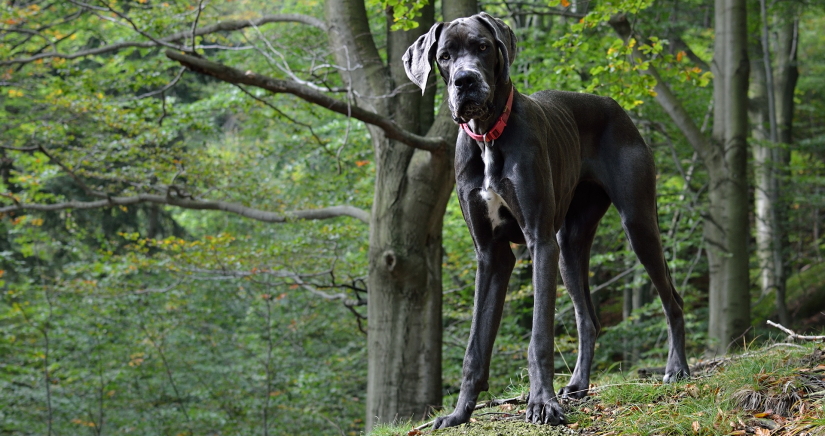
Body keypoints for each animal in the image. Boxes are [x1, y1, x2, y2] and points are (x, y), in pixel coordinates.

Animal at [402, 12, 692, 430]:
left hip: (637, 224)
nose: (465, 81)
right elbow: (475, 346)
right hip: (569, 247)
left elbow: (539, 336)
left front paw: (541, 403)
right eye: (444, 56)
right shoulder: (491, 256)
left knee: (672, 300)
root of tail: (615, 106)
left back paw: (677, 368)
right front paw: (459, 413)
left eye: (482, 47)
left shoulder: (539, 241)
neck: (488, 137)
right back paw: (579, 384)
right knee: (588, 319)